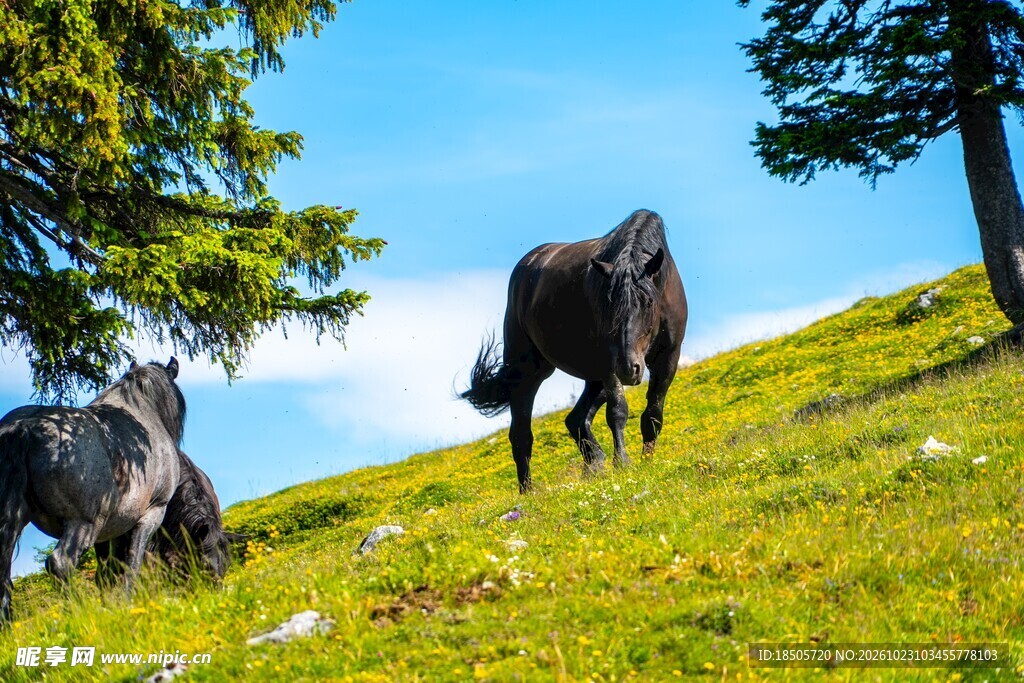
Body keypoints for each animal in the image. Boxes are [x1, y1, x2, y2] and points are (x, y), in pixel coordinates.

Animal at [0, 359, 185, 623]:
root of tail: (24, 427)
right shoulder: (151, 514)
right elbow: (132, 563)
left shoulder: (111, 529)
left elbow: (108, 572)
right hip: (82, 523)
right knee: (60, 564)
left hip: (13, 522)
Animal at [461, 209, 687, 492]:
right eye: (609, 304)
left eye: (647, 302)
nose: (629, 368)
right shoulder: (608, 363)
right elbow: (618, 411)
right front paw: (622, 462)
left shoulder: (668, 358)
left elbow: (653, 416)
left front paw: (647, 460)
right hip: (528, 371)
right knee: (522, 433)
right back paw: (529, 491)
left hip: (593, 377)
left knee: (576, 419)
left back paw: (594, 463)